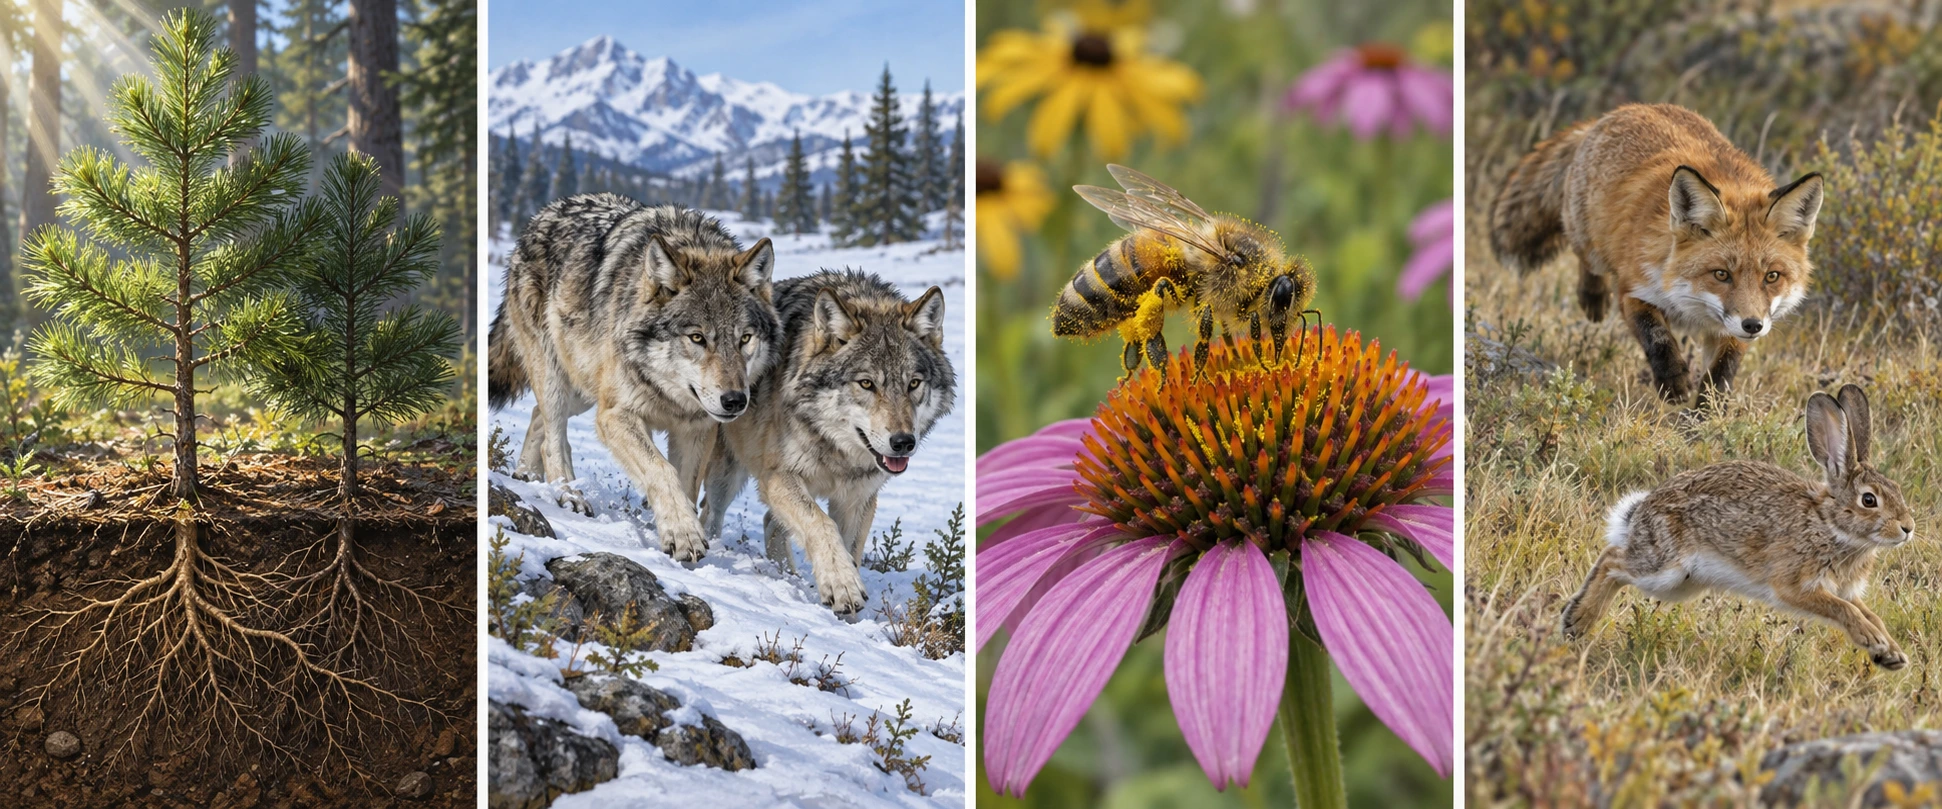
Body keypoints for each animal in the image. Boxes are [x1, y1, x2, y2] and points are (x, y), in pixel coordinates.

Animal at [488, 195, 780, 562]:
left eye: (745, 339)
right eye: (698, 338)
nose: (735, 401)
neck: (669, 394)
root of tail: (543, 213)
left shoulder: (696, 429)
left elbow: (685, 484)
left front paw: (680, 530)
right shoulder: (615, 414)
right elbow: (661, 470)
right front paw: (683, 534)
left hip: (584, 390)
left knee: (537, 415)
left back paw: (527, 475)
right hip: (559, 378)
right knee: (553, 437)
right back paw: (568, 495)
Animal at [680, 270, 955, 614]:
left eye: (914, 384)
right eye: (867, 384)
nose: (903, 441)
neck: (838, 452)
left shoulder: (858, 497)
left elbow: (849, 550)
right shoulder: (778, 477)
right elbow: (822, 525)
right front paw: (842, 586)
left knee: (770, 522)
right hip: (726, 474)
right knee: (712, 514)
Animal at [1489, 103, 1824, 406]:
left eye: (1772, 276)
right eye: (1721, 274)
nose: (1752, 325)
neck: (1689, 303)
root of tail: (1621, 110)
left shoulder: (1729, 330)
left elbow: (1721, 373)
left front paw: (1706, 414)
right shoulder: (1634, 290)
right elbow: (1657, 336)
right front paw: (1673, 382)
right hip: (1587, 239)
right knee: (1587, 262)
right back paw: (1593, 300)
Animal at [1560, 384, 1915, 669]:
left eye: (1898, 489)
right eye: (1869, 500)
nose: (1908, 528)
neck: (1829, 524)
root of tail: (1639, 513)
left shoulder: (1845, 589)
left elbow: (1869, 613)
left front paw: (1890, 653)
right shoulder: (1794, 586)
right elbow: (1844, 610)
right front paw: (1873, 640)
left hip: (1683, 585)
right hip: (1665, 569)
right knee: (1612, 560)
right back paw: (1576, 620)